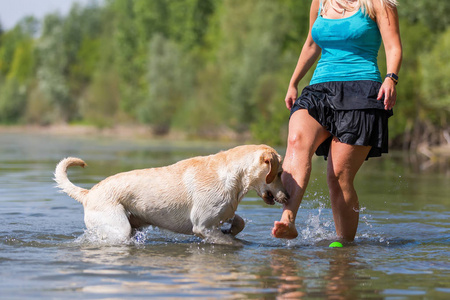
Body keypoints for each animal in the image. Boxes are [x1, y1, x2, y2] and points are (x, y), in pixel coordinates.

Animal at [54, 144, 288, 245]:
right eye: (279, 173)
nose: (287, 196)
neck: (233, 176)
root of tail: (88, 193)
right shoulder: (202, 226)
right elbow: (231, 243)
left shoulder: (222, 214)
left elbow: (239, 222)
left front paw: (231, 230)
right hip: (118, 228)